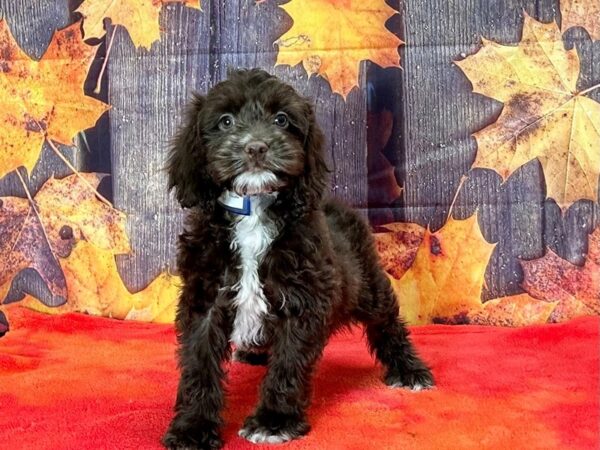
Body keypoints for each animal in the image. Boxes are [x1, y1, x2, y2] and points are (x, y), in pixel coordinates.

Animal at [162, 67, 432, 450]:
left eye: (281, 119)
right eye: (225, 121)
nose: (256, 147)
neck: (254, 209)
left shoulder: (303, 297)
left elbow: (289, 362)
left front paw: (274, 421)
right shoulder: (205, 297)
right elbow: (199, 363)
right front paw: (192, 427)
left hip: (368, 285)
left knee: (388, 322)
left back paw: (409, 370)